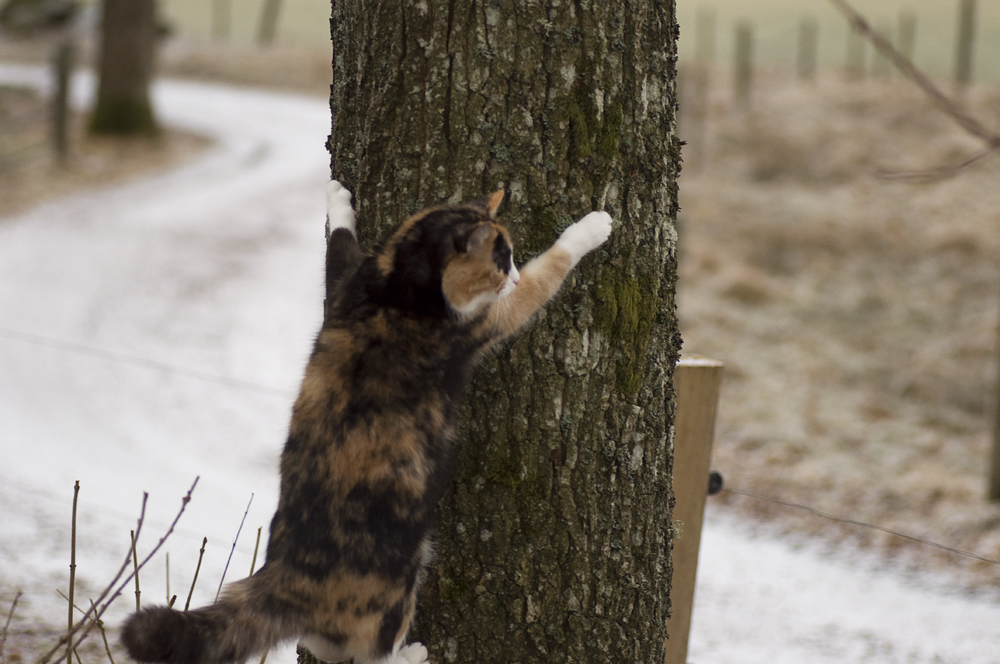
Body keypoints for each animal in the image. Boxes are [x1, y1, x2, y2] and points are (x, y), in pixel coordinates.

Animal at [121, 180, 613, 664]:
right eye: (501, 260)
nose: (512, 277)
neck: (397, 284)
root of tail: (289, 580)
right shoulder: (484, 321)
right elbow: (548, 271)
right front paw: (592, 227)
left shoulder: (345, 285)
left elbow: (338, 247)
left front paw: (337, 200)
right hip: (395, 587)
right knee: (372, 650)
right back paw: (410, 655)